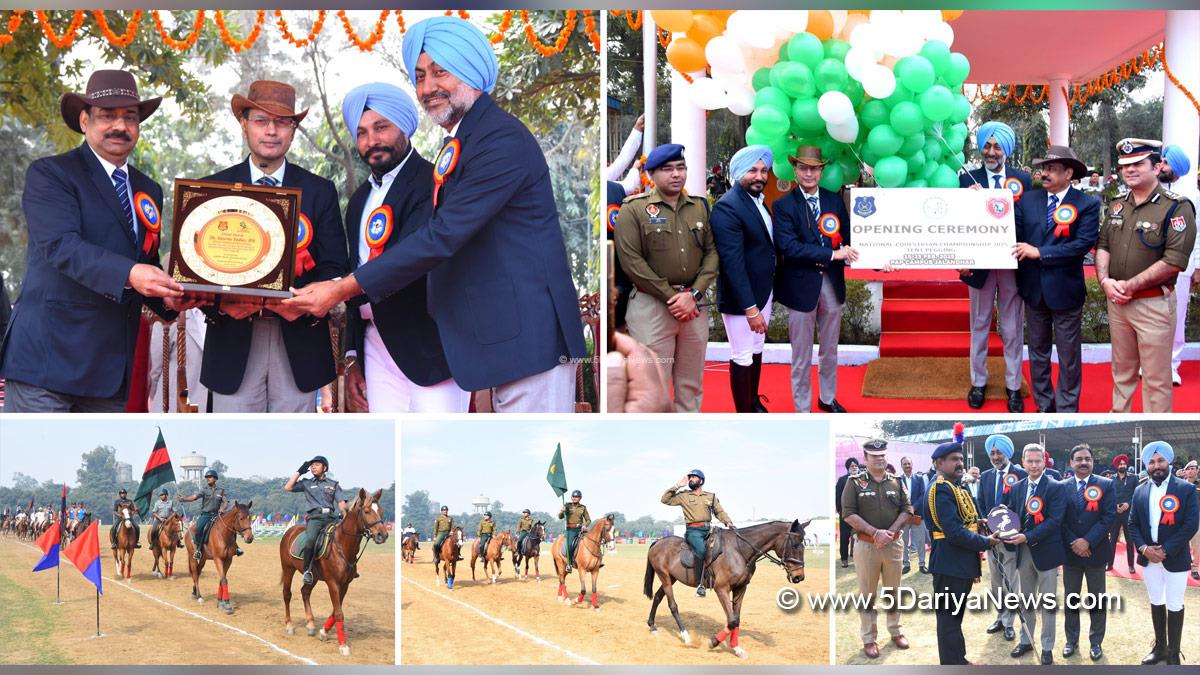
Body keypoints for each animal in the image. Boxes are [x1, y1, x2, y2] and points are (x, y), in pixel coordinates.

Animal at [279, 485, 384, 653]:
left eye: (380, 511)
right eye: (367, 511)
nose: (383, 535)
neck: (342, 545)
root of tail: (290, 531)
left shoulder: (345, 585)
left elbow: (336, 611)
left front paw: (323, 632)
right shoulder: (333, 583)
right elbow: (339, 613)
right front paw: (343, 645)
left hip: (313, 577)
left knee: (305, 592)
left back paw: (310, 624)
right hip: (288, 568)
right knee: (287, 594)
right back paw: (289, 625)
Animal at [648, 516, 806, 653]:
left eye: (804, 545)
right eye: (794, 545)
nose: (799, 576)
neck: (739, 551)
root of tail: (658, 542)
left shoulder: (740, 589)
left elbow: (737, 619)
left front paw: (736, 648)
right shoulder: (721, 589)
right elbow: (732, 621)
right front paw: (713, 642)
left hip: (671, 578)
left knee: (657, 597)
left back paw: (652, 626)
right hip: (665, 577)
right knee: (672, 605)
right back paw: (686, 637)